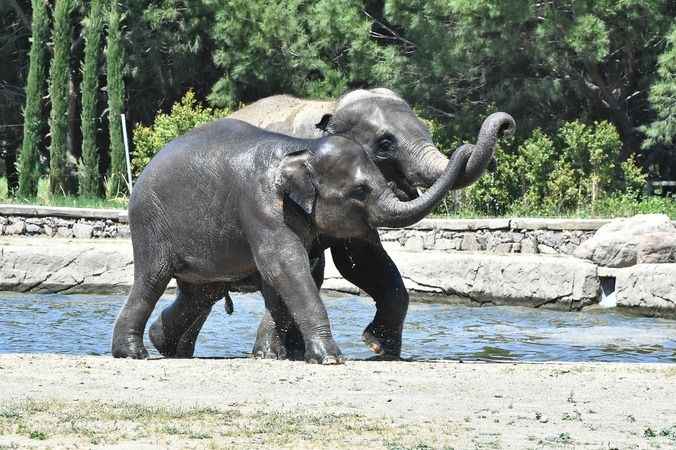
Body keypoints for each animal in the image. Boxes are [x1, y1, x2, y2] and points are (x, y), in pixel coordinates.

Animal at [111, 118, 470, 364]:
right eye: (359, 190)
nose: (466, 148)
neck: (301, 147)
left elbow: (293, 274)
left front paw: (272, 356)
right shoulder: (262, 205)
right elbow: (284, 264)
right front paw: (330, 359)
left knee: (200, 294)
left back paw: (167, 346)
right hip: (150, 221)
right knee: (152, 280)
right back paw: (134, 353)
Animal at [151, 89, 516, 358]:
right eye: (385, 143)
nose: (505, 126)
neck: (332, 107)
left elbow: (365, 260)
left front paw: (380, 349)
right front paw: (273, 355)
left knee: (204, 294)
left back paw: (168, 347)